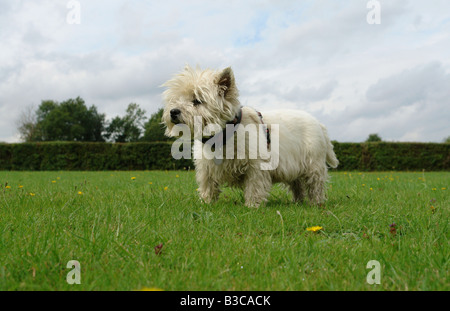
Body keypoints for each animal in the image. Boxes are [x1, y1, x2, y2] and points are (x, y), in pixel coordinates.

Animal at [162, 65, 338, 207]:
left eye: (197, 100)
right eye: (176, 99)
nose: (173, 112)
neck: (223, 134)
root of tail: (319, 124)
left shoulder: (256, 165)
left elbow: (255, 185)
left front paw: (252, 205)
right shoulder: (207, 167)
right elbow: (208, 185)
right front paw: (206, 203)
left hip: (313, 163)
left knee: (315, 184)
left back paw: (316, 203)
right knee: (297, 185)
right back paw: (297, 202)